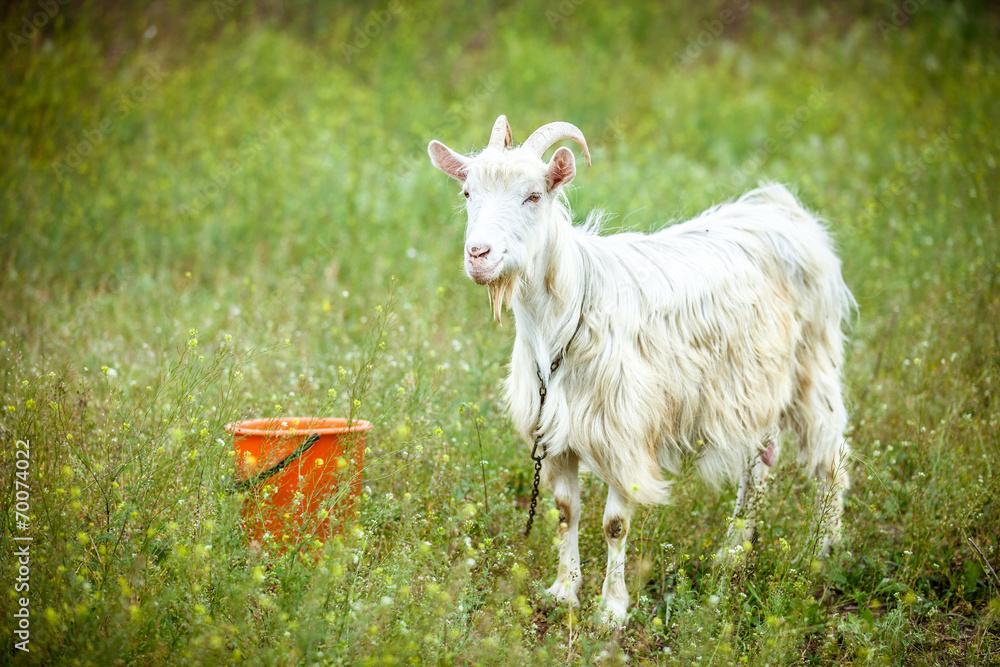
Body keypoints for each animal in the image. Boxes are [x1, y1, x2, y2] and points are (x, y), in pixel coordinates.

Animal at [428, 115, 854, 627]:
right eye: (467, 192)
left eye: (533, 196)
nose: (479, 254)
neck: (567, 317)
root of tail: (783, 211)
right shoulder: (555, 434)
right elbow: (566, 510)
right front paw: (563, 591)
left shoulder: (623, 432)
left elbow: (614, 525)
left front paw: (612, 609)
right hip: (753, 387)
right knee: (760, 463)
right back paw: (733, 553)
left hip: (814, 364)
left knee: (831, 459)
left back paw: (823, 551)